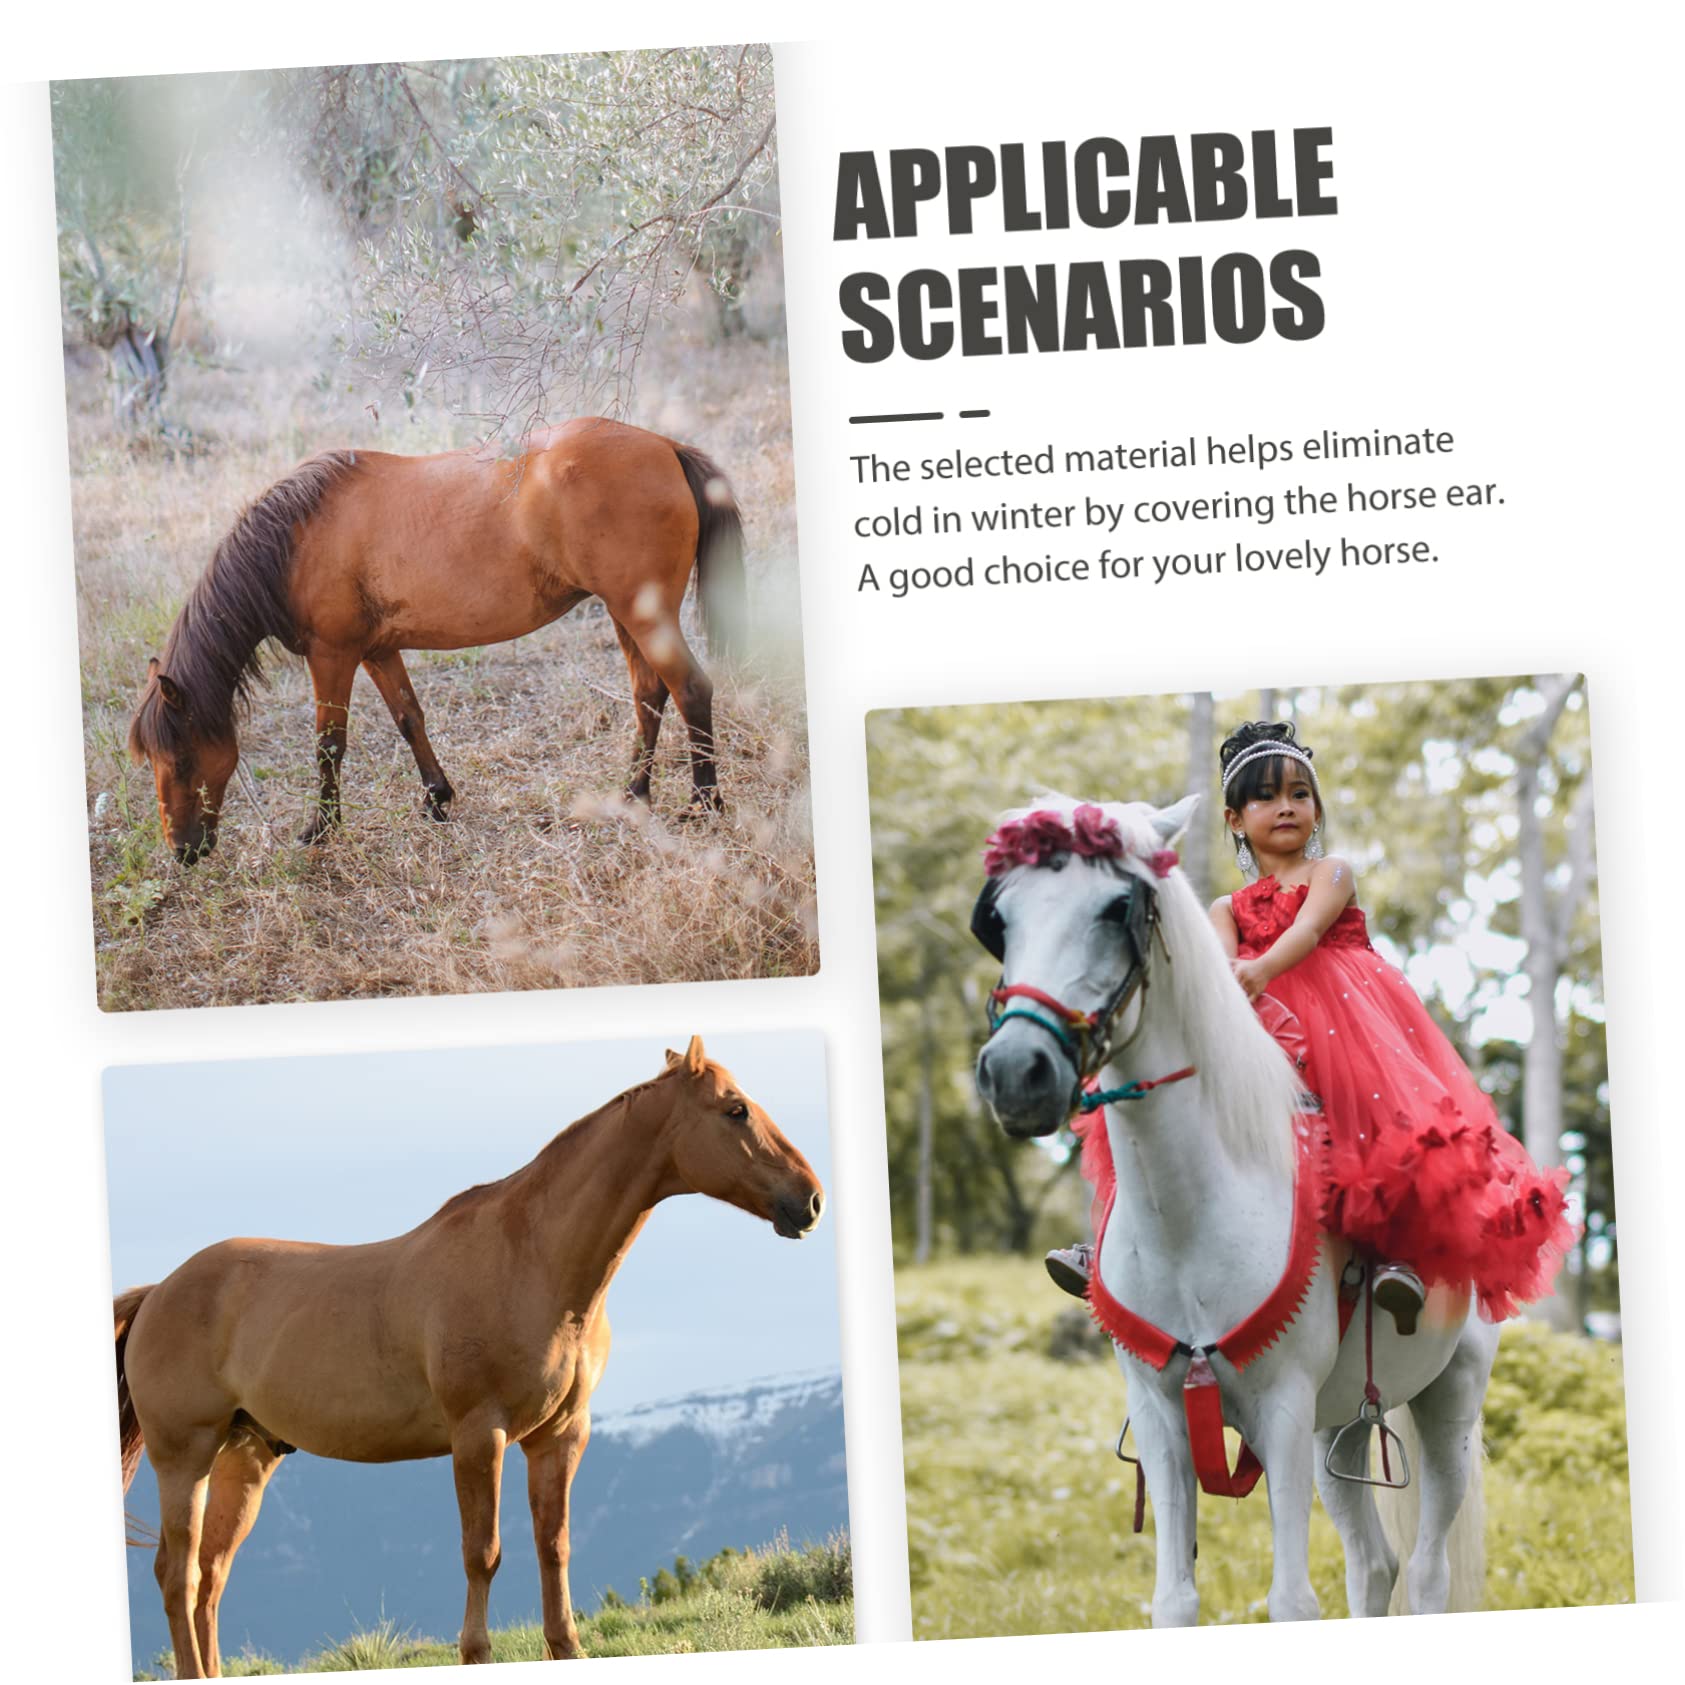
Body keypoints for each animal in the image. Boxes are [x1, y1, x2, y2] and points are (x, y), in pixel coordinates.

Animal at [113, 1037, 824, 1677]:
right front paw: (476, 1653)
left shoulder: (561, 1435)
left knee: (209, 1578)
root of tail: (160, 1292)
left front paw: (566, 1647)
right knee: (177, 1575)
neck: (532, 1261)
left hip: (246, 1458)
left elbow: (553, 1544)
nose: (811, 1199)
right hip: (186, 1456)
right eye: (735, 1109)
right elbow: (483, 1551)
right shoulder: (480, 1434)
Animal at [126, 418, 747, 864]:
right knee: (649, 695)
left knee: (690, 690)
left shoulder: (333, 655)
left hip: (643, 617)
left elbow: (329, 744)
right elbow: (409, 718)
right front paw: (436, 799)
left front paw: (321, 829)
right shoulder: (376, 651)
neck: (297, 540)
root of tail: (666, 446)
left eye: (182, 758)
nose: (182, 852)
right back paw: (633, 795)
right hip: (626, 617)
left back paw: (704, 803)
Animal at [971, 794, 1497, 1626]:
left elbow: (1290, 1601)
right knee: (1373, 1564)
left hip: (1450, 1402)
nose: (1016, 1072)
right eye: (1001, 918)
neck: (1188, 1219)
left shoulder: (1280, 1409)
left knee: (1426, 1572)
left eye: (1117, 907)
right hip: (1337, 1427)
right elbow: (1174, 1601)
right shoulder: (1160, 1416)